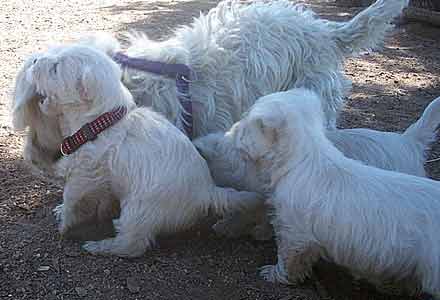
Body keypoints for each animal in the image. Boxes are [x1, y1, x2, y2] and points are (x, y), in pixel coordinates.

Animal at [229, 88, 440, 296]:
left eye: (246, 122)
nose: (231, 130)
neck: (305, 158)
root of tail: (410, 141)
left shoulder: (294, 232)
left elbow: (288, 259)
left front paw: (273, 274)